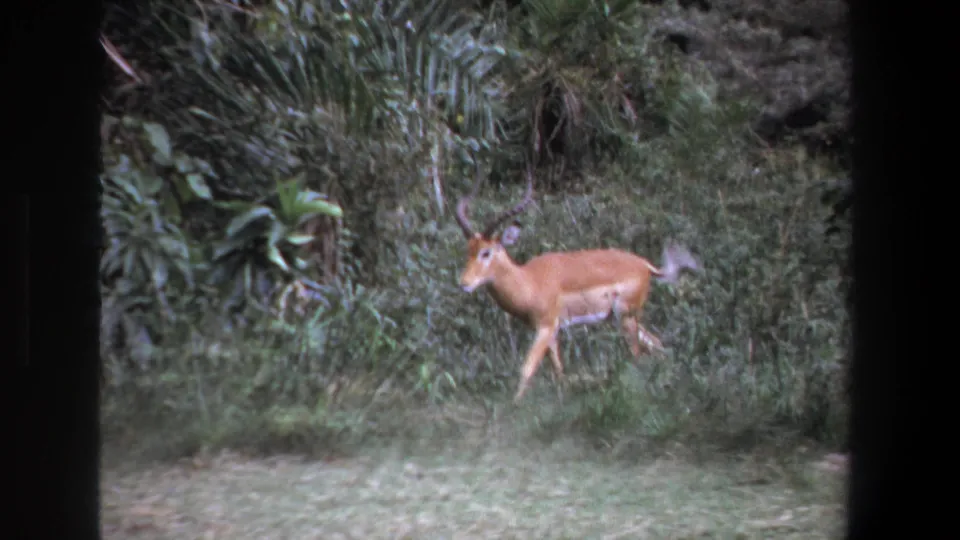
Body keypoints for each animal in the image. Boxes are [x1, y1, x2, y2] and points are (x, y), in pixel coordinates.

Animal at [455, 167, 700, 404]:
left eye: (486, 252)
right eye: (468, 250)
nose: (463, 283)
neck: (529, 280)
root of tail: (645, 265)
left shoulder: (545, 327)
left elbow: (527, 368)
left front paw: (513, 407)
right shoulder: (552, 331)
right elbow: (558, 370)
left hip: (626, 318)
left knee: (638, 354)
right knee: (656, 343)